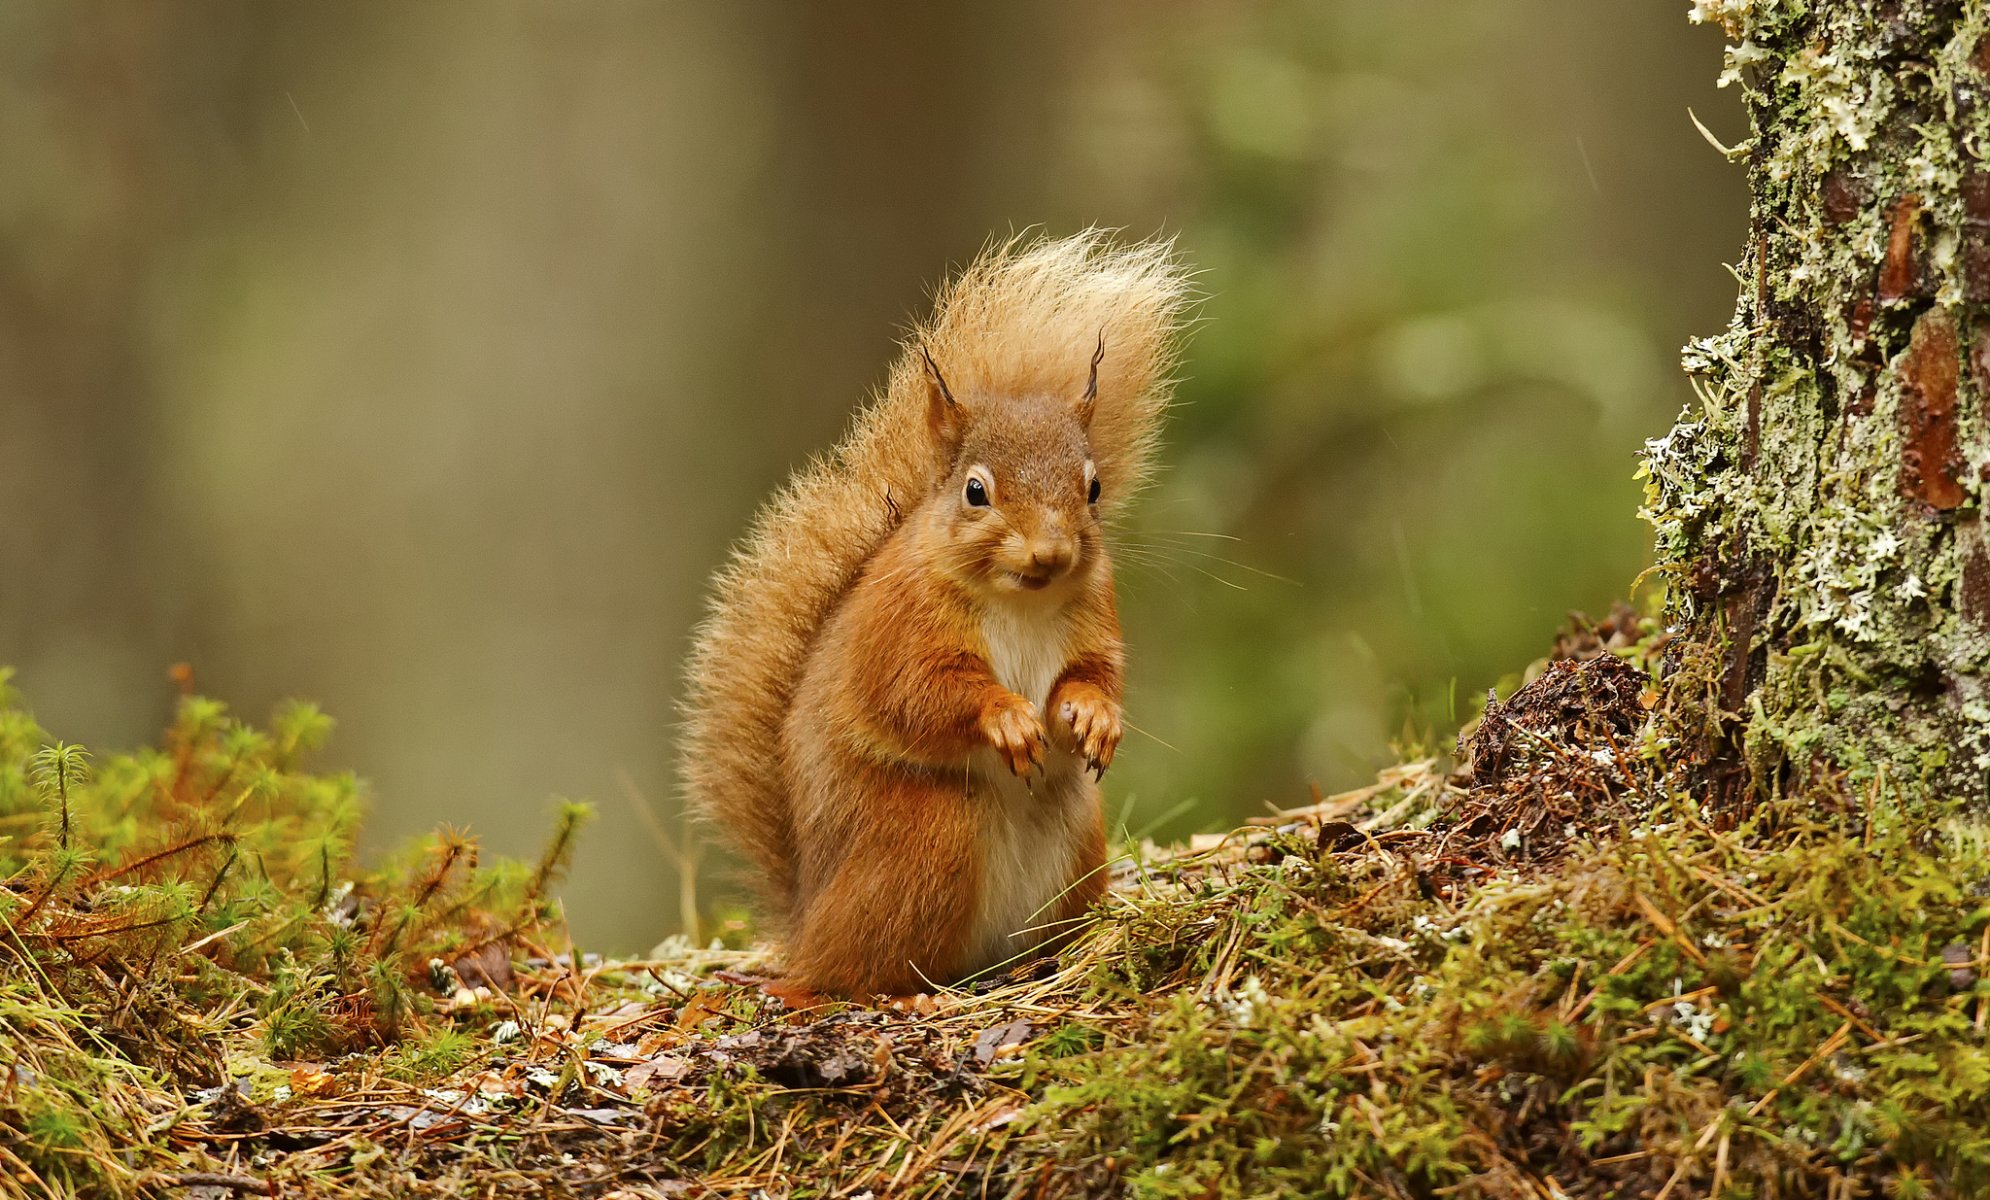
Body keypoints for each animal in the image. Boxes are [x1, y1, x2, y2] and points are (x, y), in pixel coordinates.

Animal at [681, 232, 1191, 998]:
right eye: (975, 491)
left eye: (1094, 487)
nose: (1051, 551)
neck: (1020, 600)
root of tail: (808, 920)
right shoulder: (900, 626)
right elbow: (915, 694)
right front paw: (1006, 718)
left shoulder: (1094, 615)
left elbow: (1095, 674)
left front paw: (1095, 719)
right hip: (929, 839)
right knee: (851, 973)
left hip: (1077, 841)